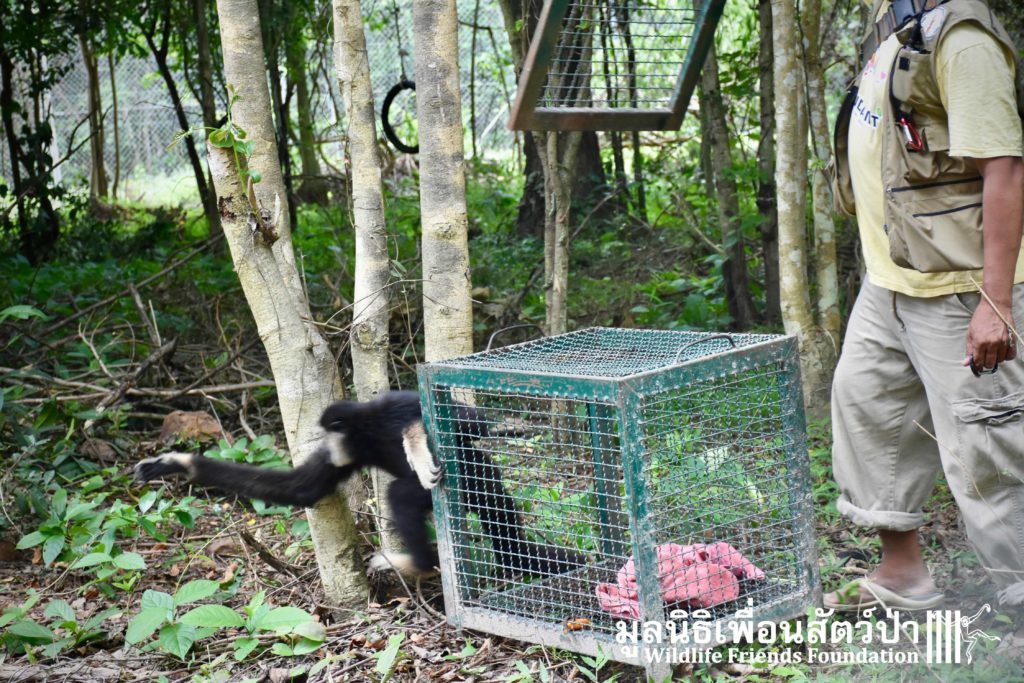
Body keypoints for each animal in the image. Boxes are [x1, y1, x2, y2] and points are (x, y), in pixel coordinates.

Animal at [134, 391, 586, 578]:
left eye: (330, 434)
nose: (329, 445)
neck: (365, 433)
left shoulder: (390, 405)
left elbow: (470, 420)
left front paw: (415, 445)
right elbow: (300, 489)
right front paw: (176, 465)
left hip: (471, 476)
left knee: (403, 493)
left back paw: (417, 564)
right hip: (480, 485)